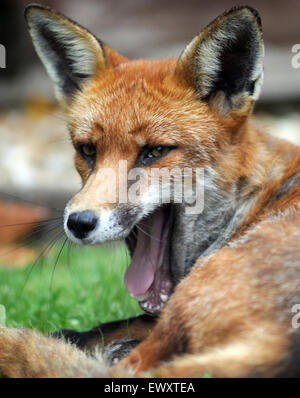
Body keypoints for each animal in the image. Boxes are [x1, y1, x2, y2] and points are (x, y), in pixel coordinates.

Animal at [0, 3, 300, 376]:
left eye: (155, 151)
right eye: (87, 150)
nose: (79, 223)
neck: (253, 198)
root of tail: (275, 345)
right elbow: (98, 328)